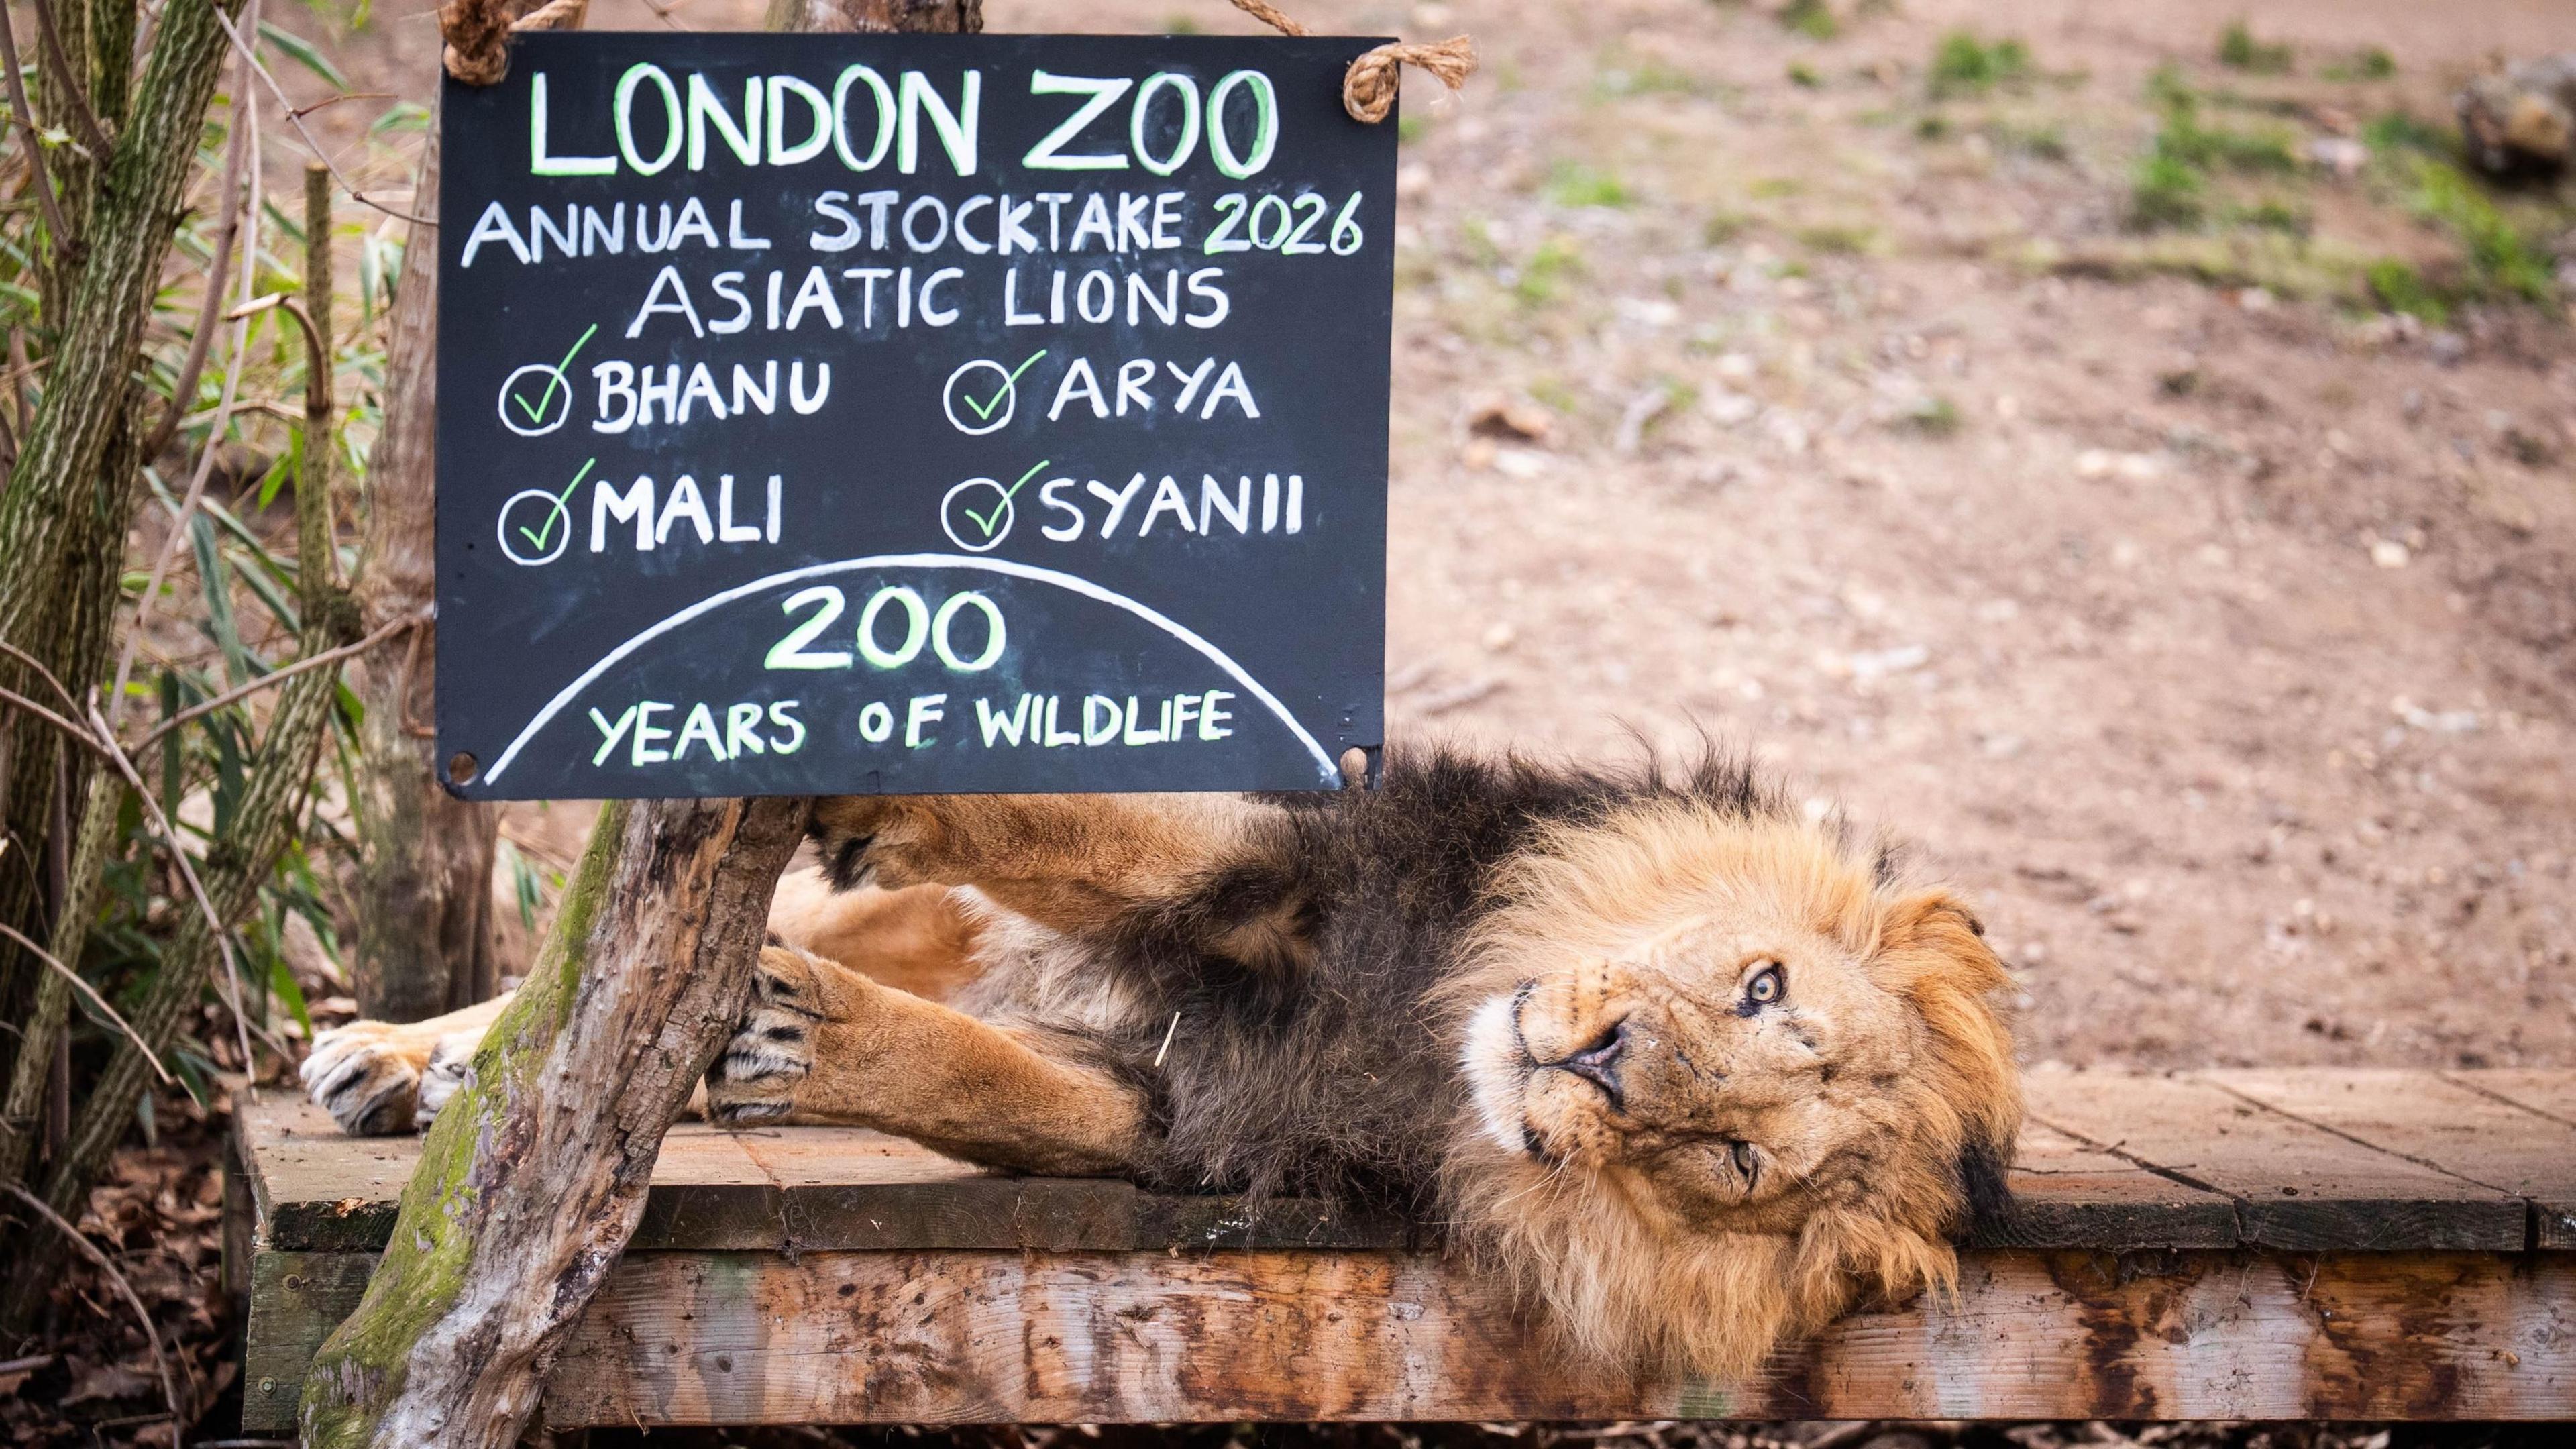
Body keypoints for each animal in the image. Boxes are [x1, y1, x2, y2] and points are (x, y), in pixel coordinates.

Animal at [301, 747, 2020, 1381]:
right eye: (1759, 982)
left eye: (1737, 1160)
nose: (1601, 1065)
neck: (1435, 1033)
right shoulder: (1287, 869)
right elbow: (1095, 832)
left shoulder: (1201, 1122)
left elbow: (998, 1083)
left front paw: (813, 1038)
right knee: (615, 967)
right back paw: (399, 1063)